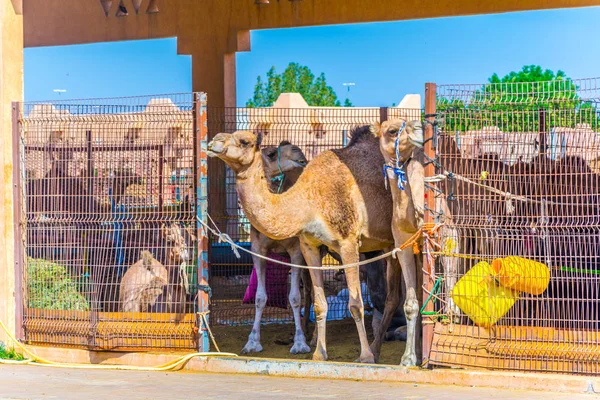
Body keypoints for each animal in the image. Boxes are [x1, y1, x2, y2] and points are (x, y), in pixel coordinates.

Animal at [207, 125, 418, 366]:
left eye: (244, 141)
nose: (214, 141)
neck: (308, 202)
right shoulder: (309, 246)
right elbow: (319, 302)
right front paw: (319, 353)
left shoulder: (348, 242)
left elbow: (355, 303)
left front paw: (364, 356)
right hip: (384, 244)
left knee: (392, 296)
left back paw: (381, 350)